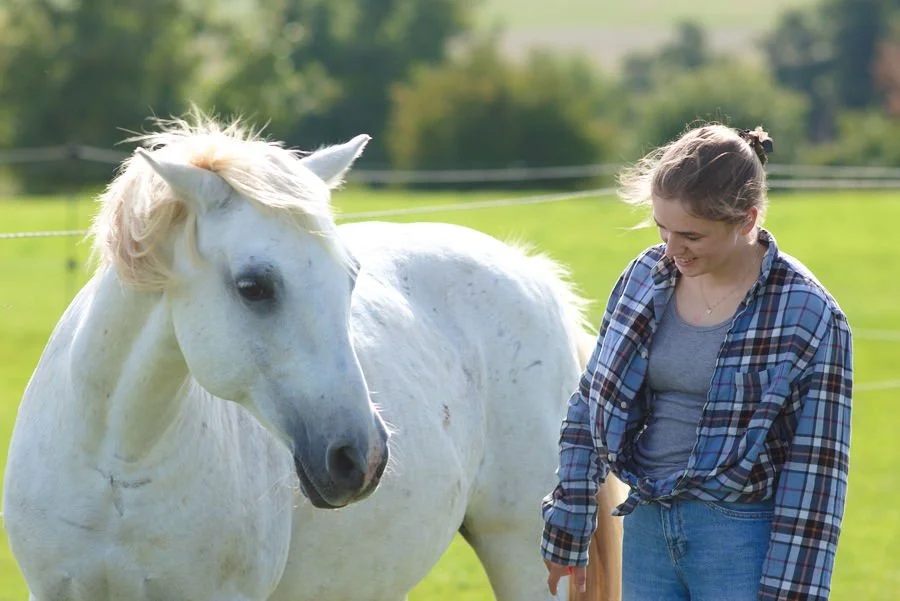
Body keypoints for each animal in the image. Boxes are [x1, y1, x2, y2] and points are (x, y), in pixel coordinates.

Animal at [3, 115, 625, 601]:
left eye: (350, 277)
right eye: (253, 287)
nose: (361, 458)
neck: (117, 464)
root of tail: (532, 273)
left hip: (520, 553)